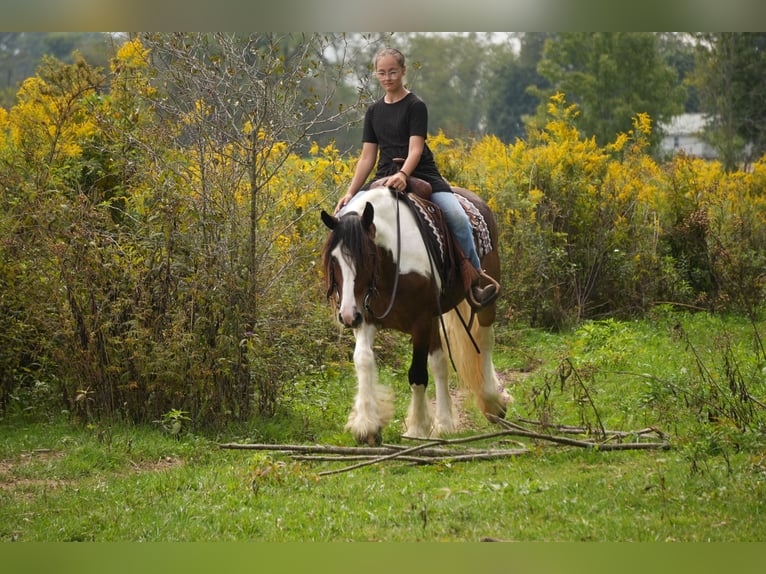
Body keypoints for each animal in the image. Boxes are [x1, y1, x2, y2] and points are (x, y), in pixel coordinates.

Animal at [320, 185, 507, 446]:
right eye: (334, 260)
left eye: (367, 257)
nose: (347, 315)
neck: (393, 265)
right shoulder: (366, 317)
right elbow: (364, 361)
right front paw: (367, 426)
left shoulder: (421, 321)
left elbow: (417, 373)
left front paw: (417, 428)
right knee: (440, 363)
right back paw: (444, 423)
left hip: (485, 299)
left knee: (484, 340)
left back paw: (493, 404)